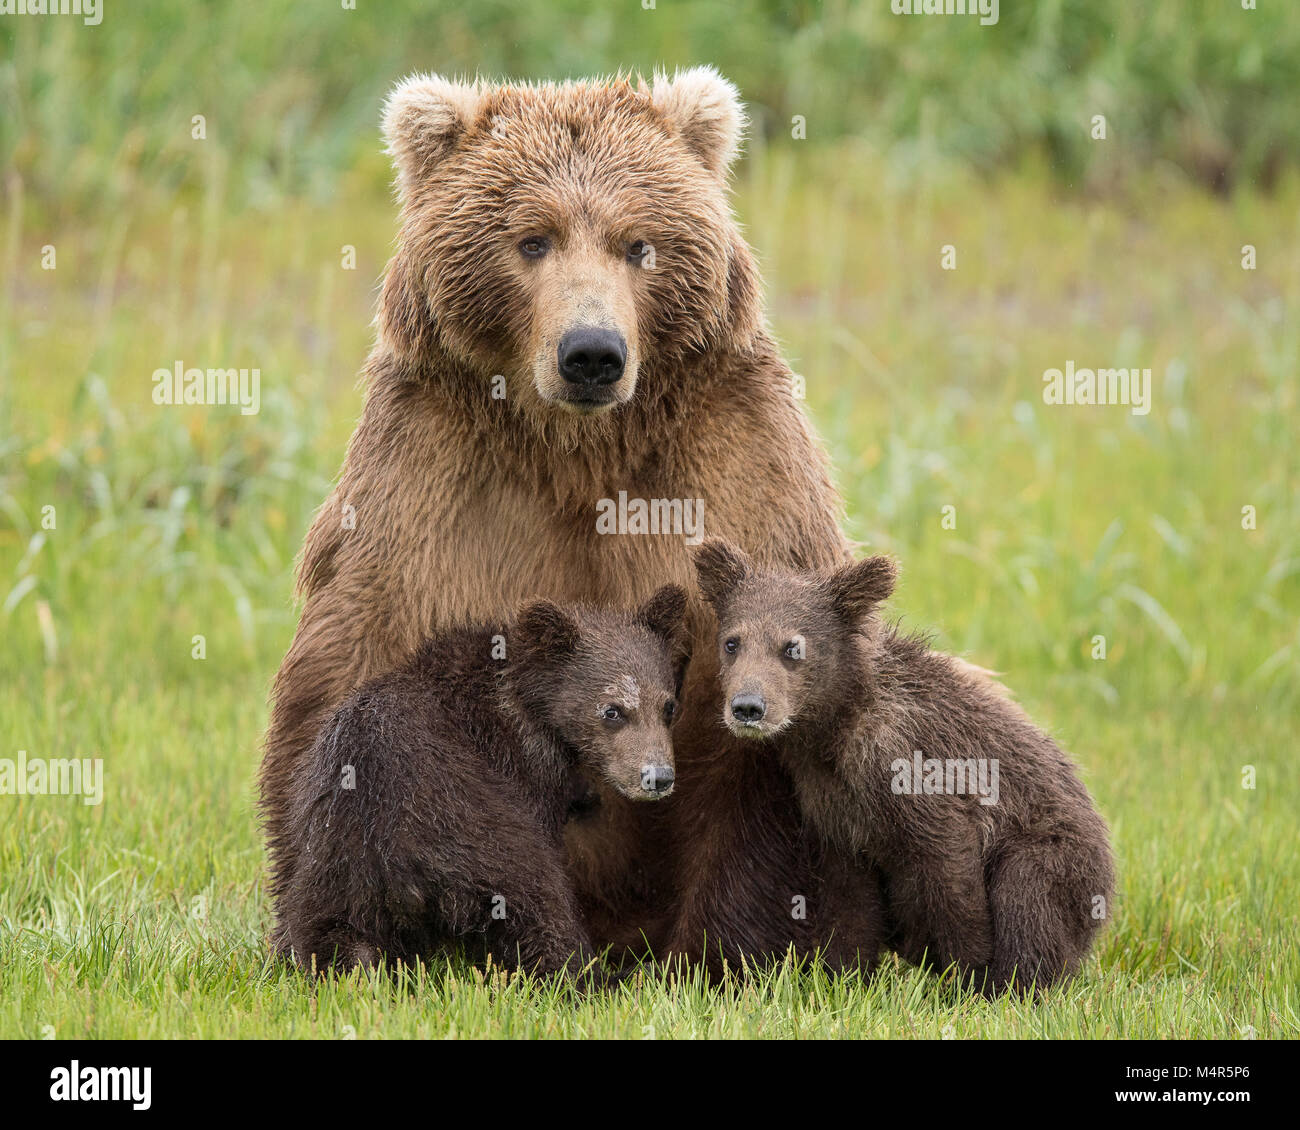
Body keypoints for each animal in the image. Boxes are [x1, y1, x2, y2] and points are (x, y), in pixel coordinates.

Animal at [261, 65, 863, 972]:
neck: (577, 451)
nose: (591, 353)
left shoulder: (731, 469)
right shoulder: (433, 482)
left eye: (638, 243)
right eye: (532, 240)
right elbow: (353, 666)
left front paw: (728, 952)